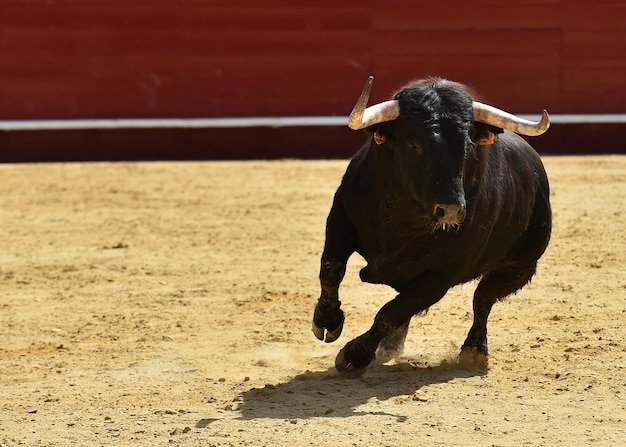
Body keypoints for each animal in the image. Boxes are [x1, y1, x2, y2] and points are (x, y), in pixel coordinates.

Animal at [310, 77, 548, 374]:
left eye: (467, 146)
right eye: (413, 144)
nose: (451, 210)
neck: (405, 213)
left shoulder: (442, 275)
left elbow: (392, 312)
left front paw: (354, 355)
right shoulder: (341, 217)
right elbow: (331, 269)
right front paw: (327, 321)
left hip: (519, 266)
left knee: (482, 299)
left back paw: (473, 351)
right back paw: (390, 346)